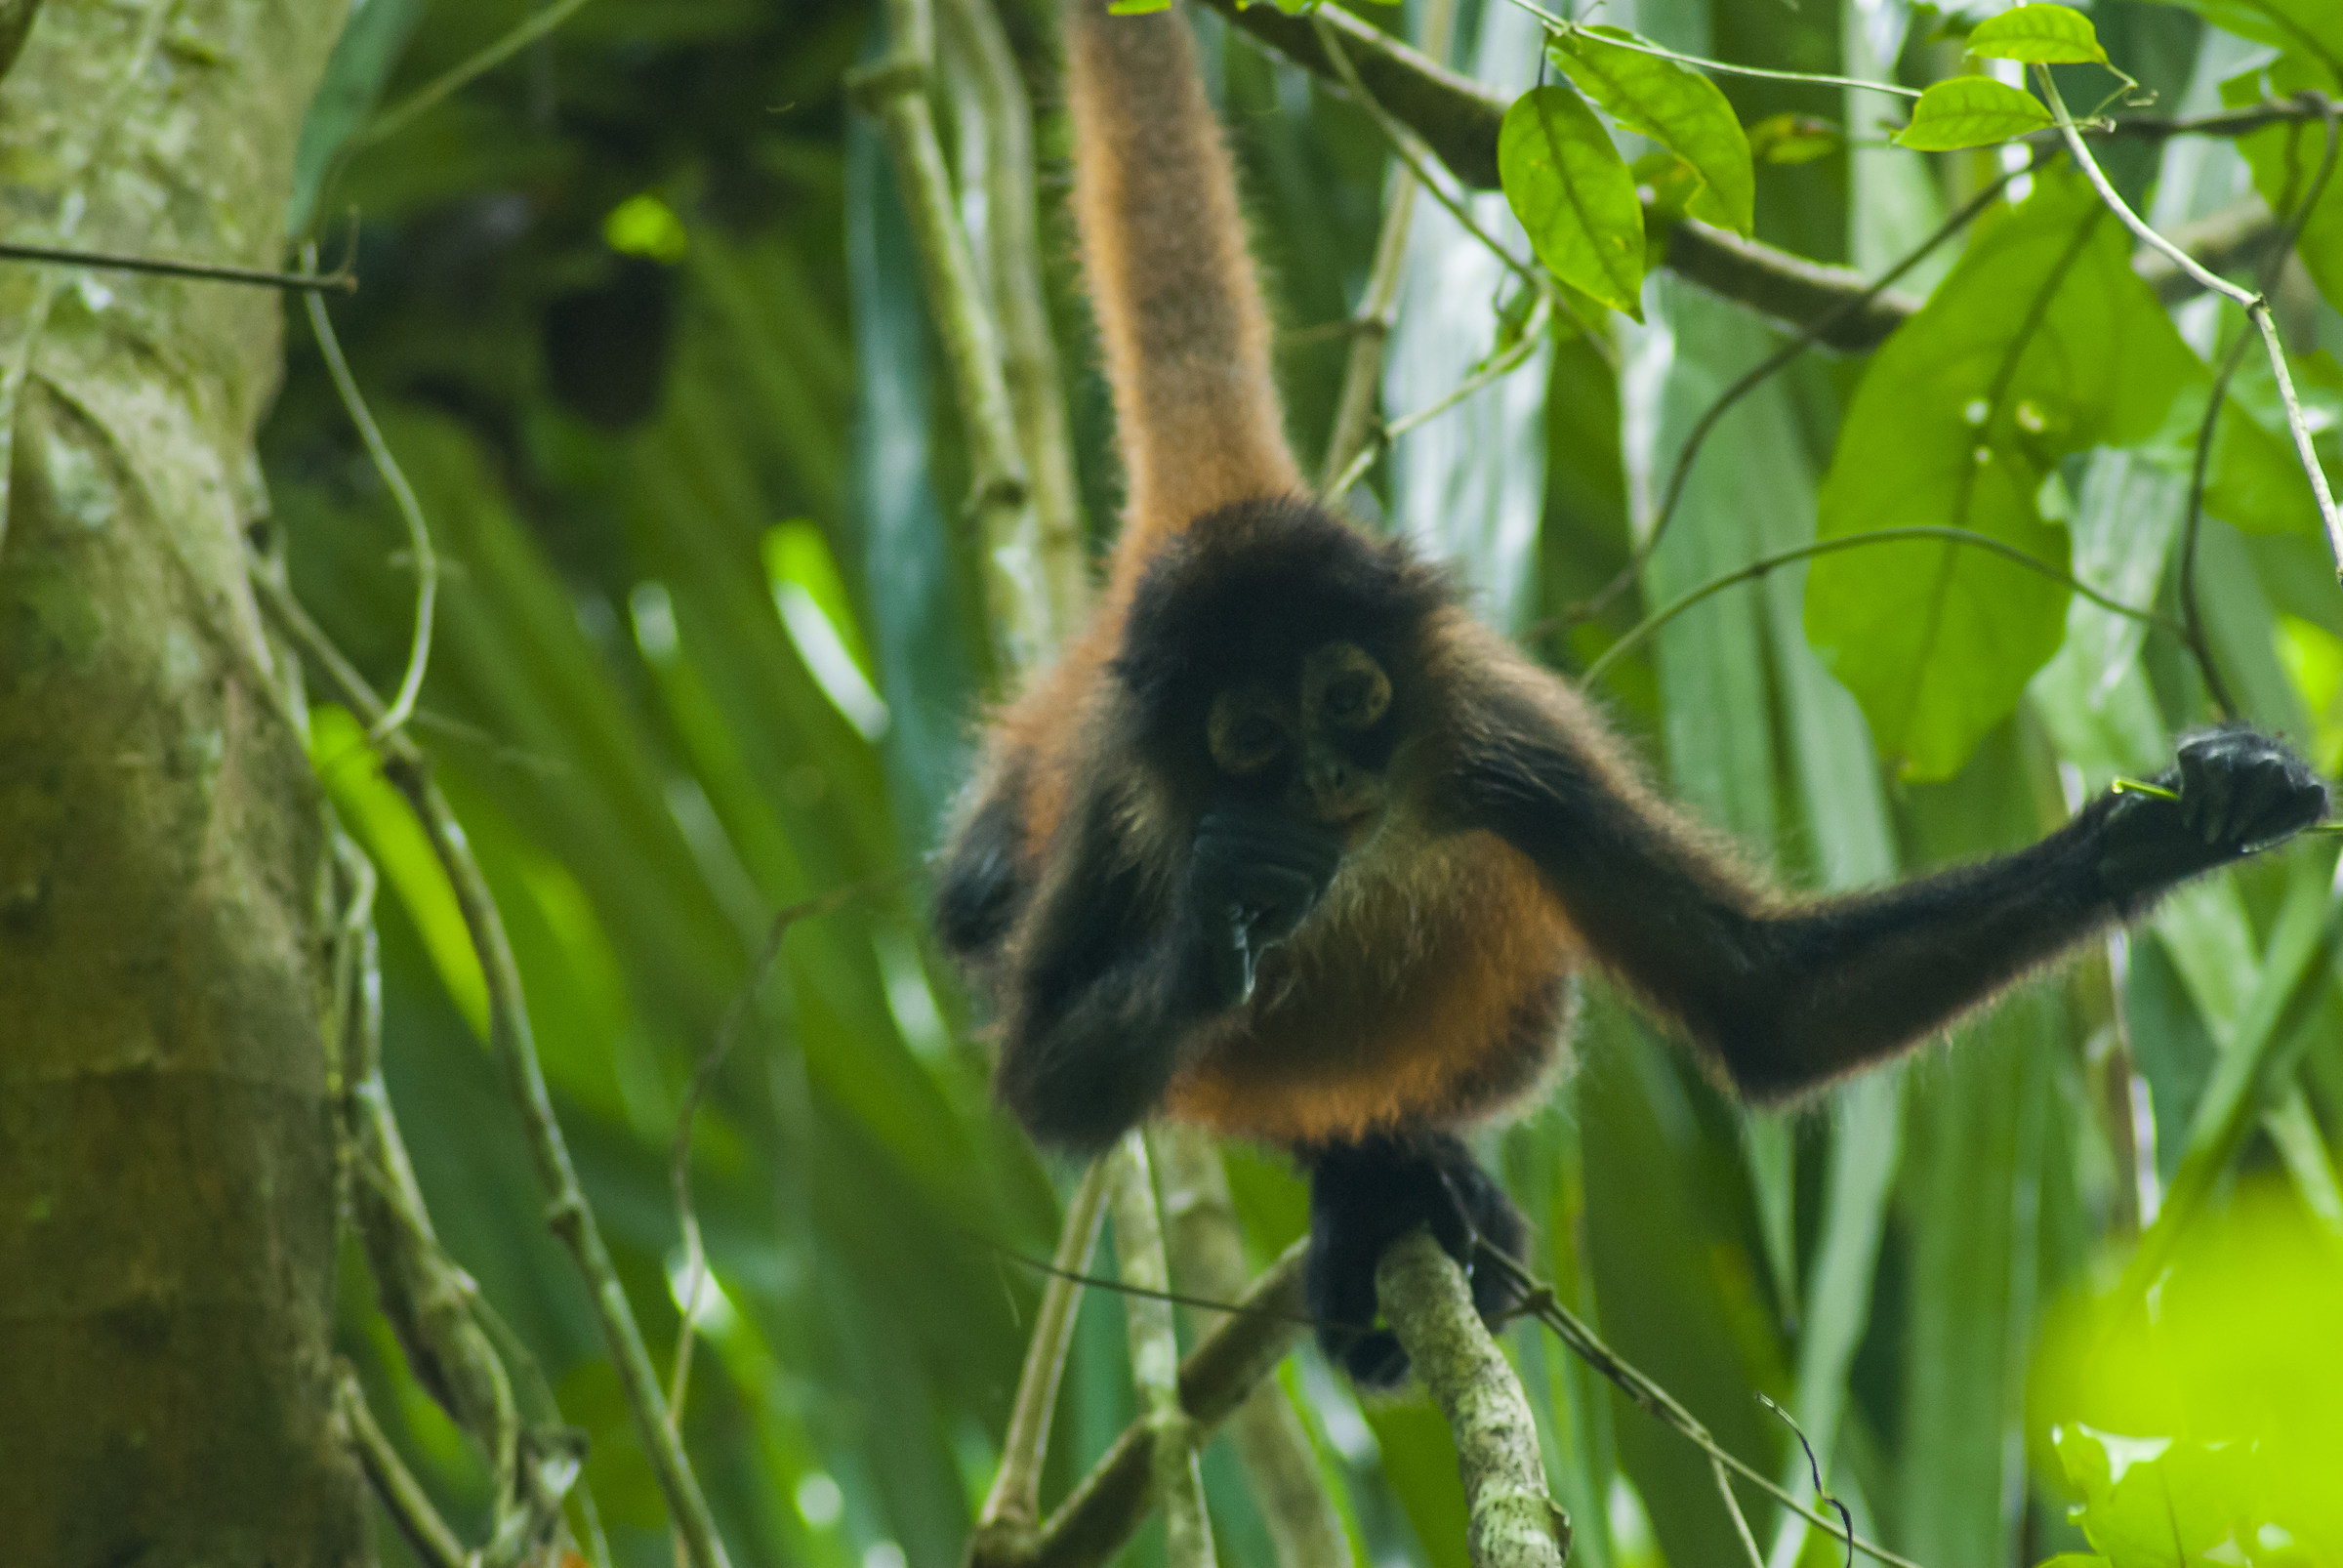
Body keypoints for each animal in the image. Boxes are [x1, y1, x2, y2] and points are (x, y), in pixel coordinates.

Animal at [933, 0, 2330, 1387]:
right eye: (1255, 737)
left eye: (1348, 702)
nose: (1326, 777)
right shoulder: (1122, 793)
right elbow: (1045, 1082)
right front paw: (1226, 895)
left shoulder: (1501, 741)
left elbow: (1768, 1005)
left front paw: (2171, 830)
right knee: (982, 905)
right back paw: (1369, 1174)